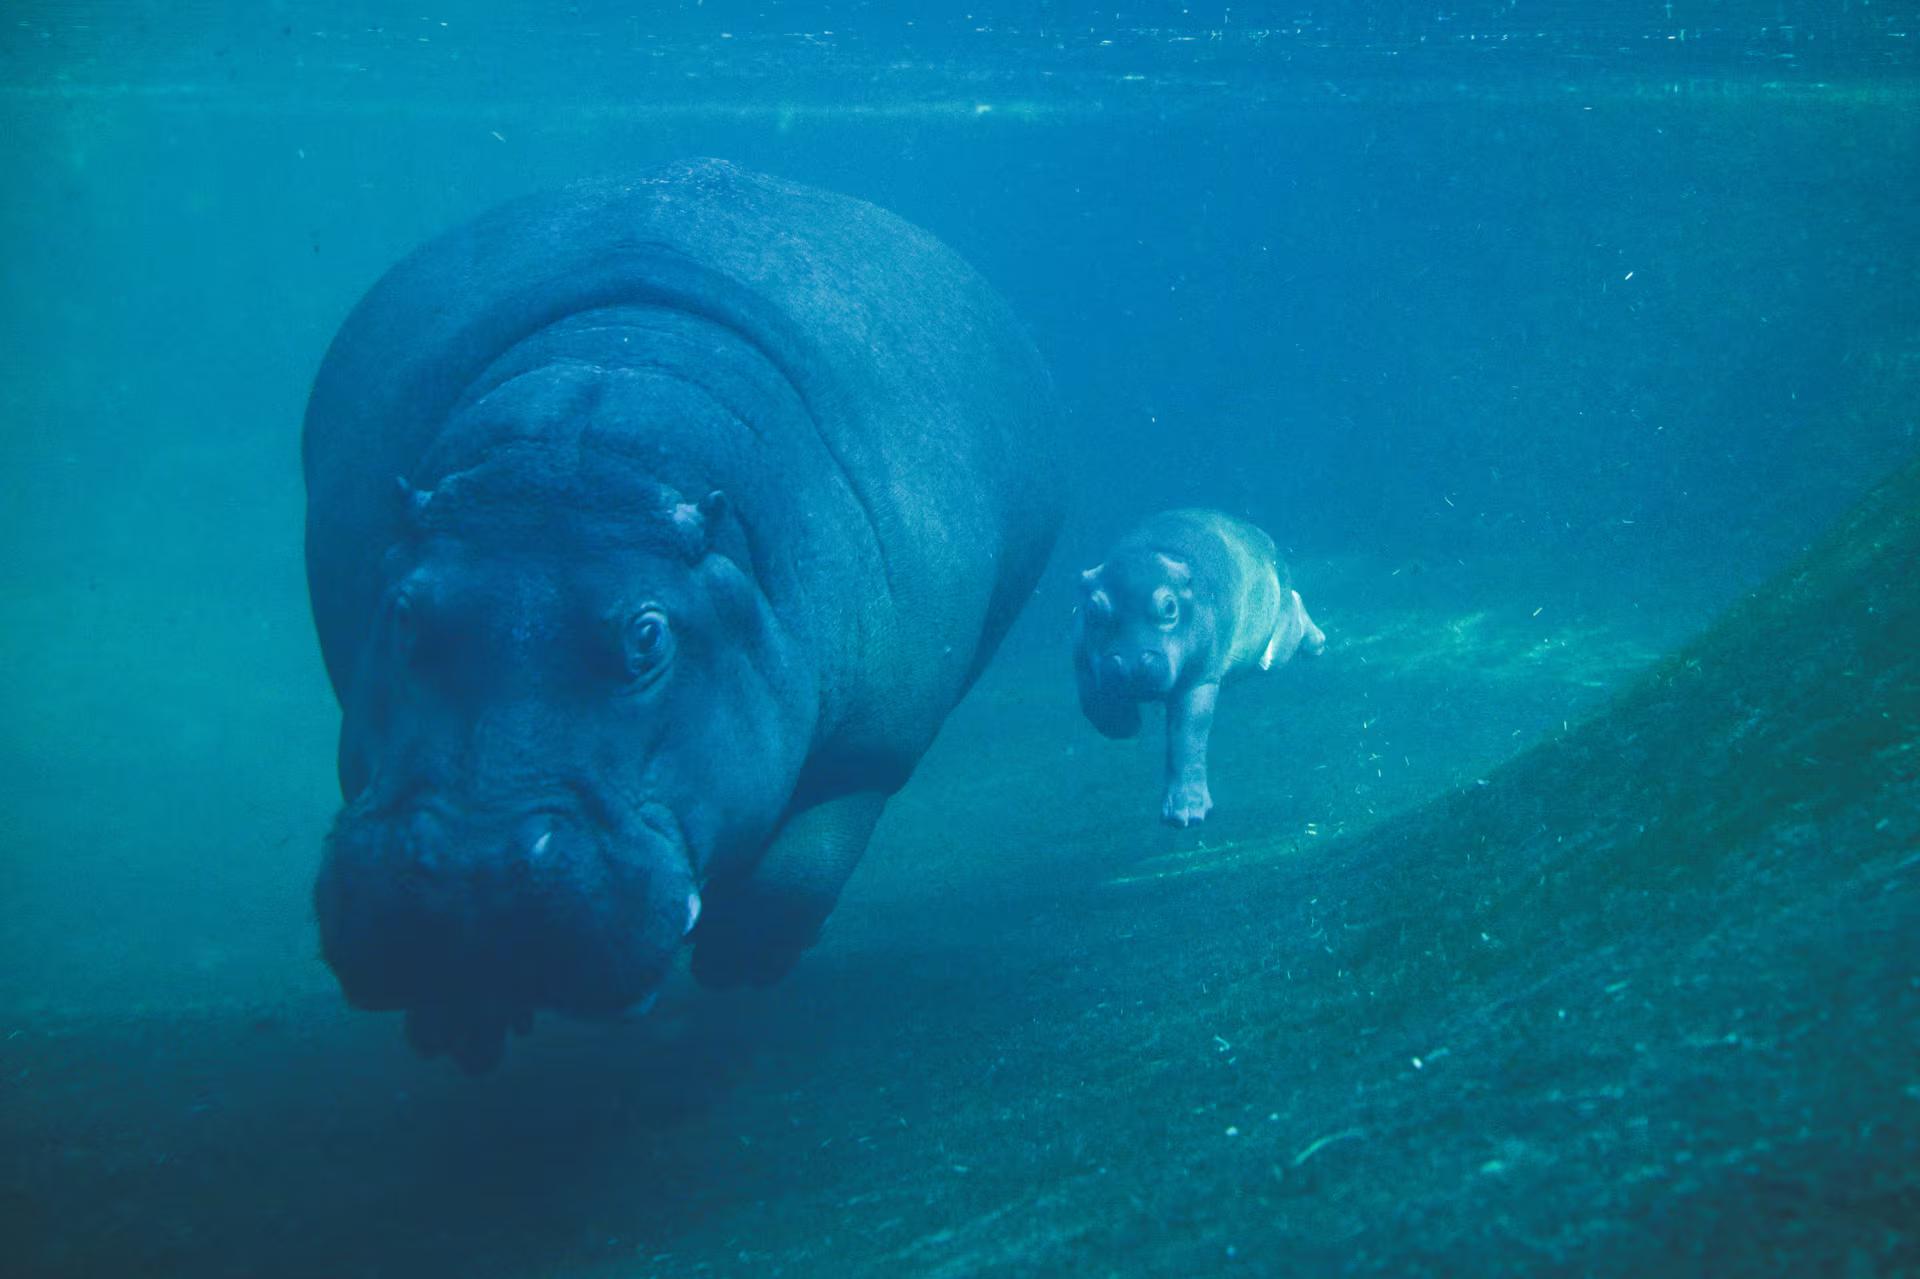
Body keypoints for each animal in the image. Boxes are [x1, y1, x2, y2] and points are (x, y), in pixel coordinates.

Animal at [303, 160, 1061, 1071]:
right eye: (407, 614)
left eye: (648, 634)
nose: (469, 875)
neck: (591, 445)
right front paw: (458, 1025)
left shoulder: (876, 742)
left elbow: (805, 863)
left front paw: (740, 961)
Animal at [1074, 509, 1324, 826]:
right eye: (1093, 610)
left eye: (1169, 607)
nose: (1129, 666)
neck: (1154, 552)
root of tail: (1265, 540)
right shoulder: (1083, 657)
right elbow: (1091, 703)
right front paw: (1124, 725)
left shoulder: (1199, 678)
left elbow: (1187, 735)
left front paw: (1184, 815)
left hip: (1272, 650)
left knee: (1293, 613)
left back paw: (1317, 643)